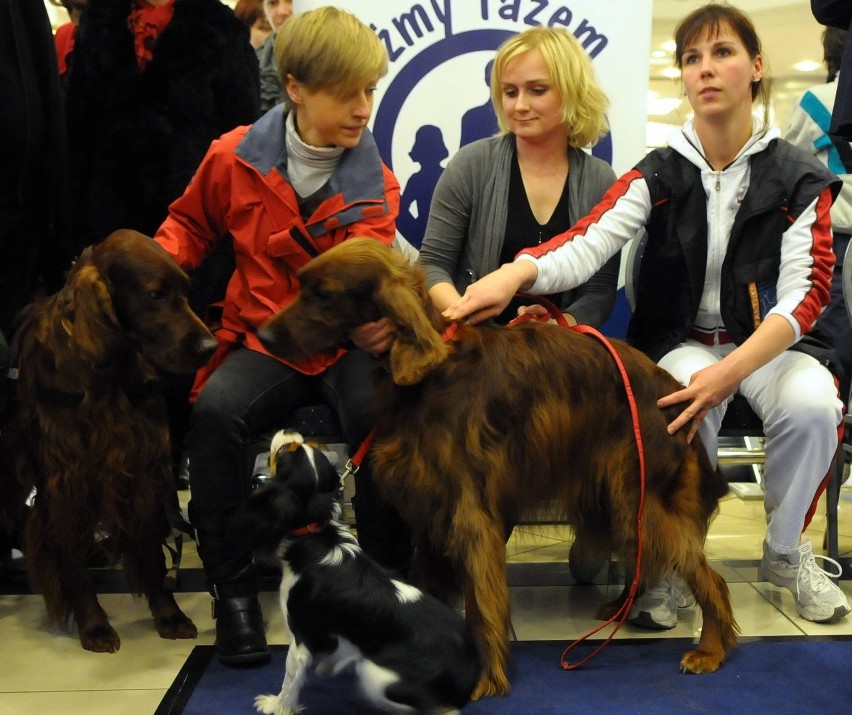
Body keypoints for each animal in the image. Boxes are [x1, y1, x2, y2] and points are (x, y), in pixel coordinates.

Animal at [7, 231, 216, 656]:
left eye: (186, 290)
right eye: (156, 294)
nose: (209, 347)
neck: (102, 375)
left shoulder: (140, 469)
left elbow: (151, 552)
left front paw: (169, 616)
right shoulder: (65, 480)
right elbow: (72, 562)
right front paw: (94, 626)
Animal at [241, 430, 480, 715]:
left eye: (284, 451)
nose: (291, 433)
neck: (317, 532)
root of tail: (471, 673)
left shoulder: (300, 638)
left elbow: (290, 680)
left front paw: (276, 705)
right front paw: (331, 664)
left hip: (375, 675)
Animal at [256, 239, 736, 700]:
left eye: (324, 294)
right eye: (300, 284)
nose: (261, 335)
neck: (430, 376)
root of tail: (674, 390)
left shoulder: (469, 513)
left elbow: (482, 601)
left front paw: (485, 677)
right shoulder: (430, 510)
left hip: (637, 494)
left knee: (706, 575)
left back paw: (711, 650)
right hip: (611, 498)